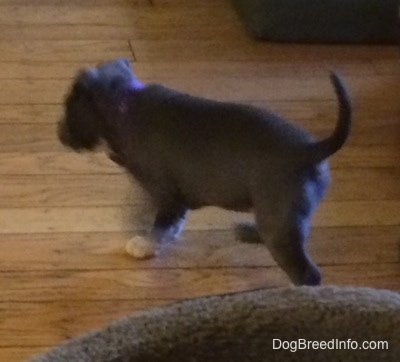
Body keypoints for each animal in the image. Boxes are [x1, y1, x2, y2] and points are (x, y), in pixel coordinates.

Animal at [58, 59, 350, 286]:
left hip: (278, 219)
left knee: (307, 274)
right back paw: (248, 232)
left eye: (68, 106)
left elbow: (158, 223)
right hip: (280, 216)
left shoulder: (167, 196)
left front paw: (145, 245)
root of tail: (311, 149)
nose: (58, 133)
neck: (124, 104)